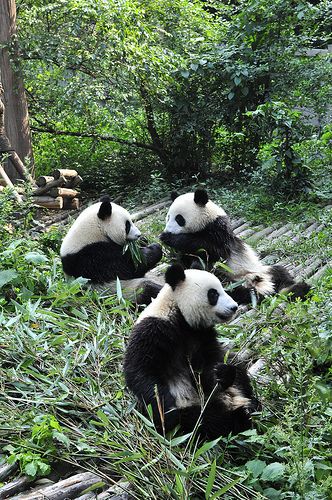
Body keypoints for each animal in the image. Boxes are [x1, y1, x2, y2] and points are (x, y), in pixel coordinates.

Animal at [124, 264, 260, 440]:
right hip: (190, 405)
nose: (234, 307)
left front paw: (222, 374)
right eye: (213, 293)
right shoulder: (153, 331)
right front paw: (166, 412)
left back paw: (250, 405)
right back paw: (238, 417)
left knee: (238, 370)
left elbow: (207, 367)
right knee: (202, 420)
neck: (178, 314)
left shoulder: (201, 335)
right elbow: (140, 372)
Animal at [160, 188, 310, 302]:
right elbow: (187, 260)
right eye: (168, 217)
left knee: (280, 273)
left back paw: (294, 289)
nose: (168, 230)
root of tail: (260, 283)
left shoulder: (218, 232)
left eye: (179, 219)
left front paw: (168, 238)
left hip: (258, 270)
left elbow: (212, 249)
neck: (207, 221)